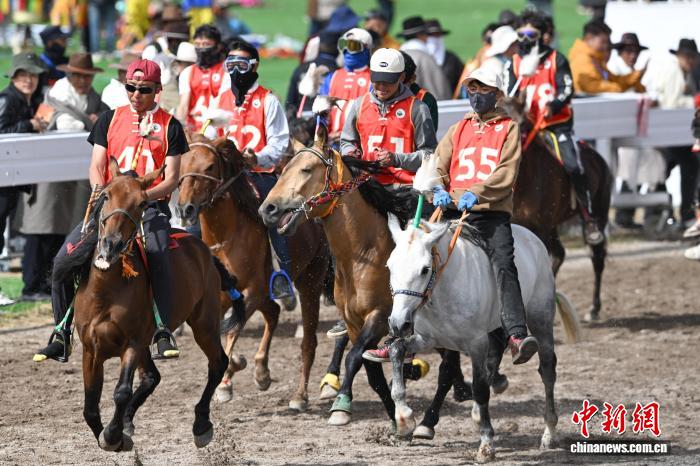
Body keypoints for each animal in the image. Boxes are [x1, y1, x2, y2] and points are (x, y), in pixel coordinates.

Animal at [75, 160, 227, 451]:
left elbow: (121, 392)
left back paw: (201, 424)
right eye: (105, 196)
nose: (111, 244)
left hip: (204, 323)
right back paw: (127, 421)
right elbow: (90, 406)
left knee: (218, 363)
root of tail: (200, 245)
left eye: (142, 203)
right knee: (151, 377)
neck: (105, 292)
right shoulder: (91, 349)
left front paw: (113, 436)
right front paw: (115, 434)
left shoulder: (132, 343)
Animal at [176, 135, 330, 411]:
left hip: (311, 281)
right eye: (181, 164)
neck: (227, 237)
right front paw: (239, 365)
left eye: (210, 167)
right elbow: (221, 332)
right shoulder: (223, 296)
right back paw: (261, 371)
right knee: (274, 312)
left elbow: (231, 331)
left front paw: (226, 381)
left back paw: (300, 396)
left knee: (308, 341)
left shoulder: (254, 291)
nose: (186, 209)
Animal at [386, 216, 565, 462]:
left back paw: (549, 433)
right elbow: (397, 351)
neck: (444, 290)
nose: (397, 323)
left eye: (424, 269)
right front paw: (404, 419)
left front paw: (486, 445)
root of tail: (532, 238)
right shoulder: (427, 339)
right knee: (495, 359)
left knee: (547, 371)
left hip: (541, 320)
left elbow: (480, 389)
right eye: (389, 266)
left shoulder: (476, 343)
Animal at [503, 96, 613, 321]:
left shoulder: (540, 227)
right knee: (560, 254)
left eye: (524, 124)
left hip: (598, 212)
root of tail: (599, 159)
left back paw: (594, 308)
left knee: (596, 257)